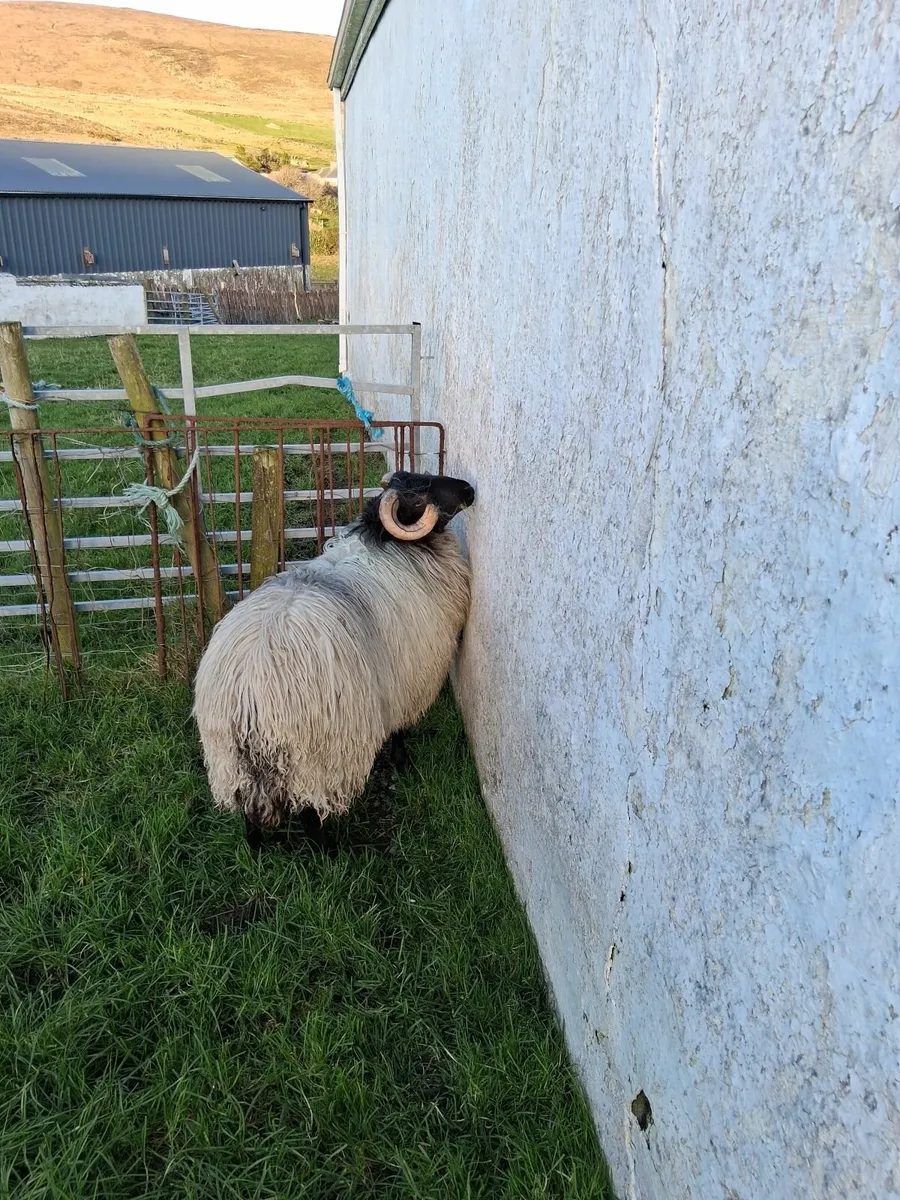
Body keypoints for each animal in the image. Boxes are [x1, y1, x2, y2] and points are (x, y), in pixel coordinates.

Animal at [192, 468, 475, 849]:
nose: (469, 490)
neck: (387, 543)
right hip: (316, 761)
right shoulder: (408, 680)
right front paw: (403, 763)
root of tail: (248, 697)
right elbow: (400, 731)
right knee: (311, 814)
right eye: (423, 492)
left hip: (230, 763)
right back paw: (330, 851)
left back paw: (256, 851)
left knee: (248, 815)